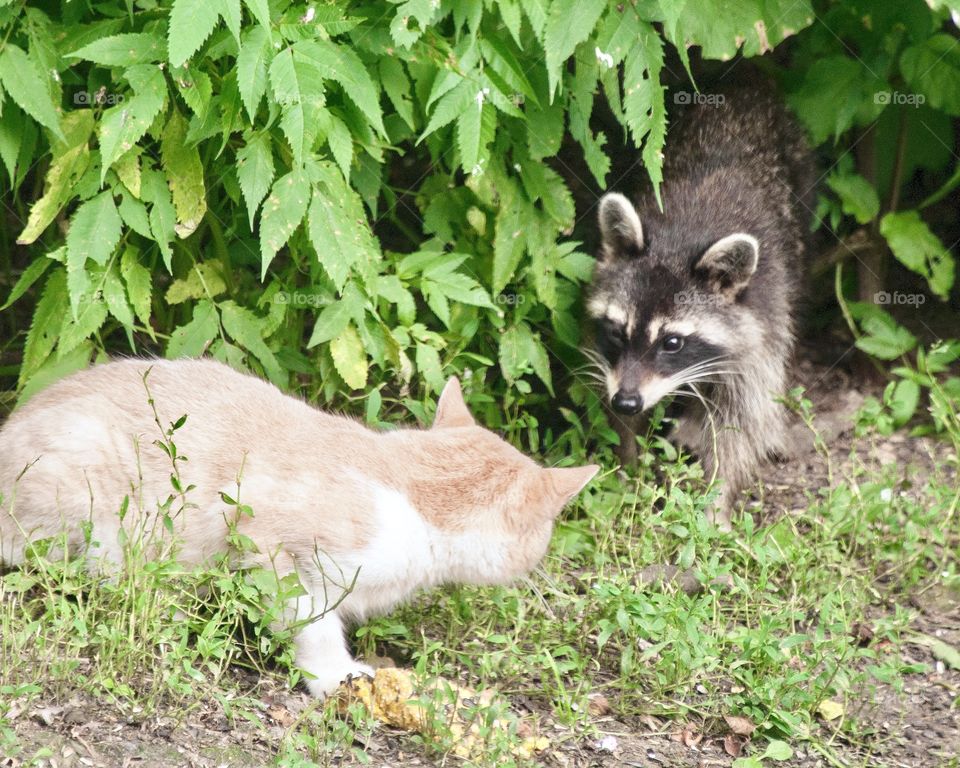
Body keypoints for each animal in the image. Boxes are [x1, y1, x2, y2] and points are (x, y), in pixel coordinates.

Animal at [584, 87, 808, 524]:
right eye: (617, 331)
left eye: (672, 342)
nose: (627, 400)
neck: (680, 239)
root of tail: (750, 84)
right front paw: (627, 466)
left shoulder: (762, 325)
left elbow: (739, 423)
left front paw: (716, 500)